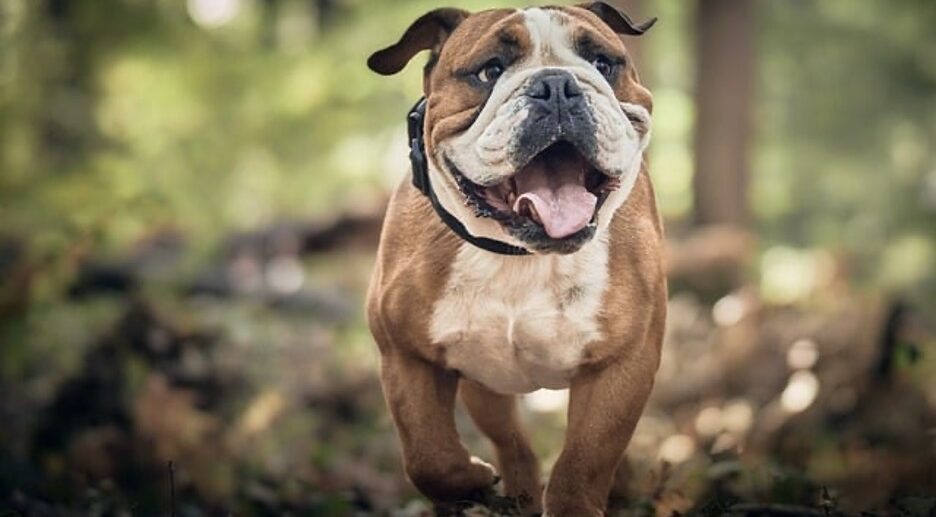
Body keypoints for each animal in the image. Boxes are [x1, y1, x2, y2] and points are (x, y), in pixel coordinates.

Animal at [366, 3, 664, 512]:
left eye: (603, 63)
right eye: (490, 71)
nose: (558, 84)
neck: (518, 252)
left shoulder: (622, 365)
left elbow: (584, 461)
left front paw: (573, 503)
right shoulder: (406, 358)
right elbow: (427, 455)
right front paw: (470, 480)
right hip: (485, 384)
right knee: (512, 445)